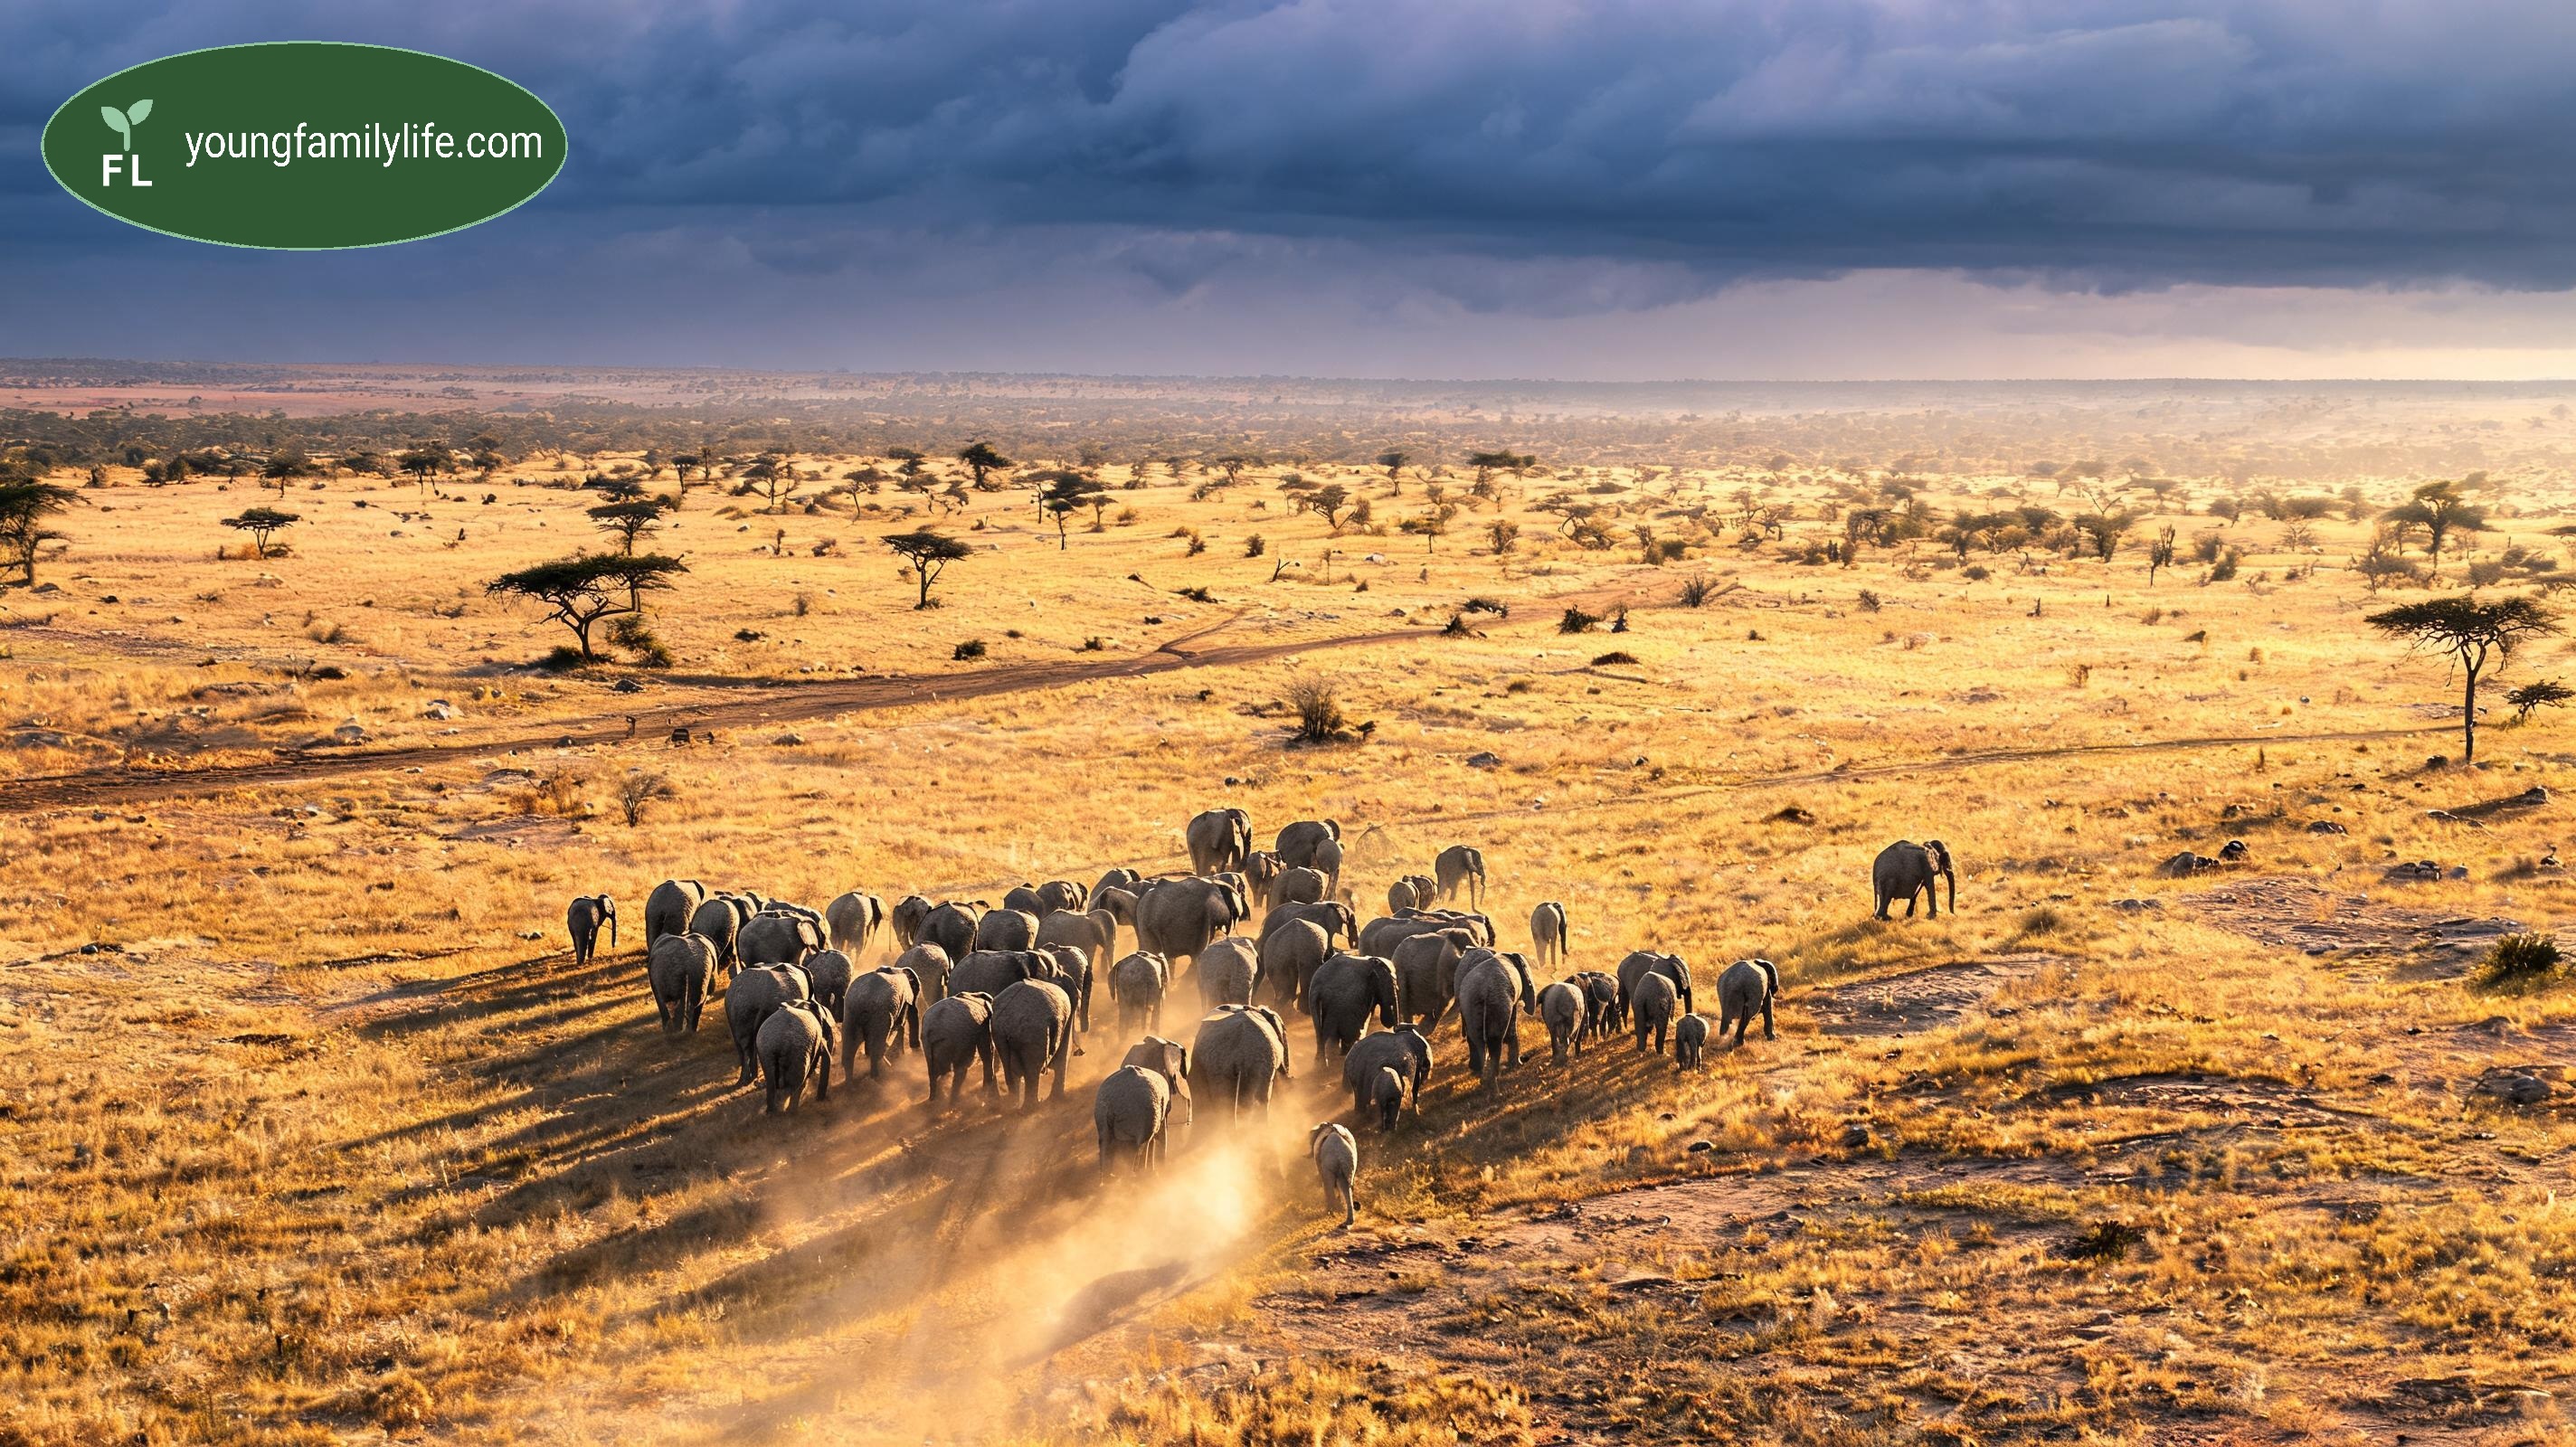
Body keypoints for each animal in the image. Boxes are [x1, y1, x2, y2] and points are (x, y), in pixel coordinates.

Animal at [992, 978, 1075, 1109]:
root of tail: (1008, 1024)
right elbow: (1063, 1057)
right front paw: (1058, 1101)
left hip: (999, 1034)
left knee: (1011, 1070)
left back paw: (1013, 1106)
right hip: (1032, 1034)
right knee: (1032, 1071)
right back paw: (1033, 1107)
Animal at [1455, 949, 1536, 1087]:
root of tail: (1481, 991)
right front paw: (1517, 1065)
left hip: (1470, 1006)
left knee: (1477, 1039)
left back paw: (1481, 1075)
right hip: (1497, 1002)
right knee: (1494, 1039)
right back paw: (1492, 1077)